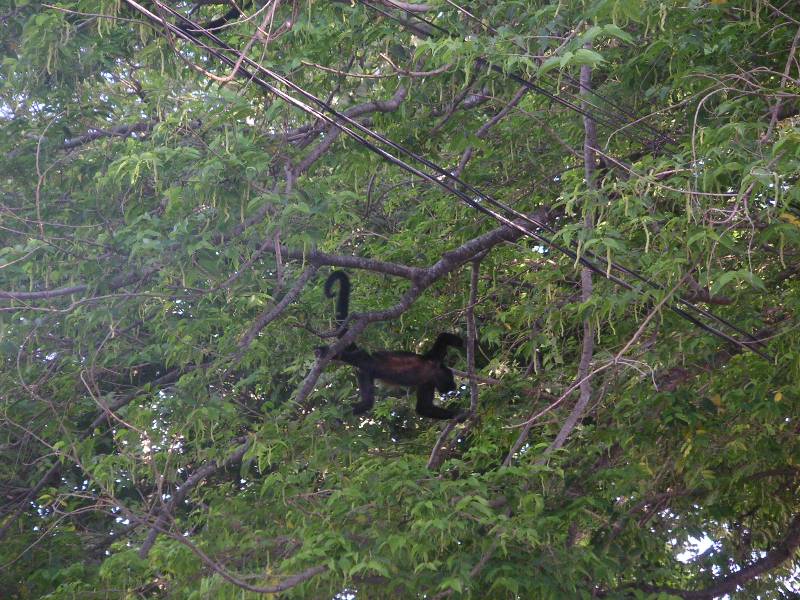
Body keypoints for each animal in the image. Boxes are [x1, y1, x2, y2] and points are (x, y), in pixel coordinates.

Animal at [318, 274, 466, 420]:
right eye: (449, 383)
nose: (452, 388)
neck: (433, 370)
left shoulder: (429, 377)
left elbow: (424, 408)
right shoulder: (433, 363)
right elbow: (443, 337)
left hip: (364, 372)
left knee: (367, 402)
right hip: (364, 358)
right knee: (352, 357)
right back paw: (327, 352)